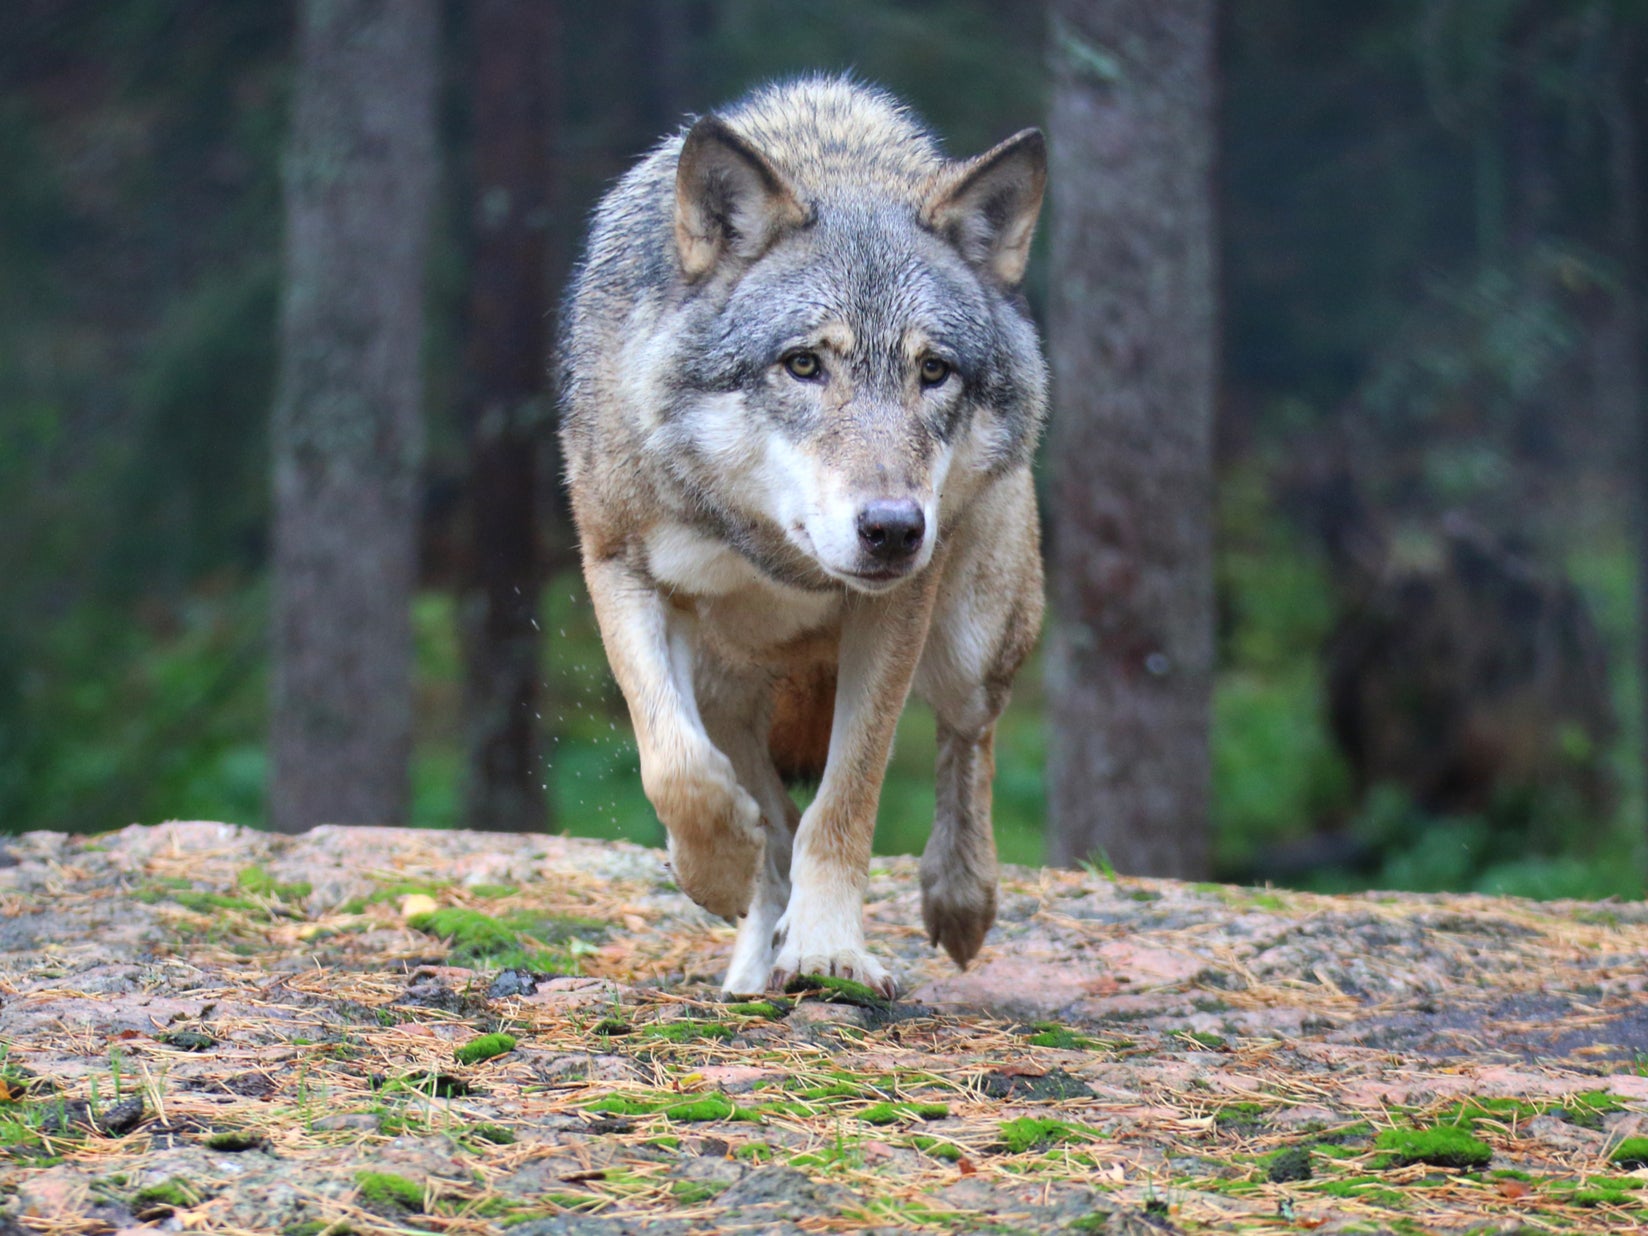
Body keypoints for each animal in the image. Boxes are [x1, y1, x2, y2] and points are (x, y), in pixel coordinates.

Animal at [553, 77, 1041, 995]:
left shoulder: (896, 612)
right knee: (770, 814)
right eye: (805, 365)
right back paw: (751, 970)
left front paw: (828, 951)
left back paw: (958, 897)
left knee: (970, 733)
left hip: (966, 640)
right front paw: (716, 874)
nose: (894, 530)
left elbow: (845, 800)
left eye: (933, 371)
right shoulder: (619, 570)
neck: (775, 554)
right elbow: (675, 768)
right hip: (725, 688)